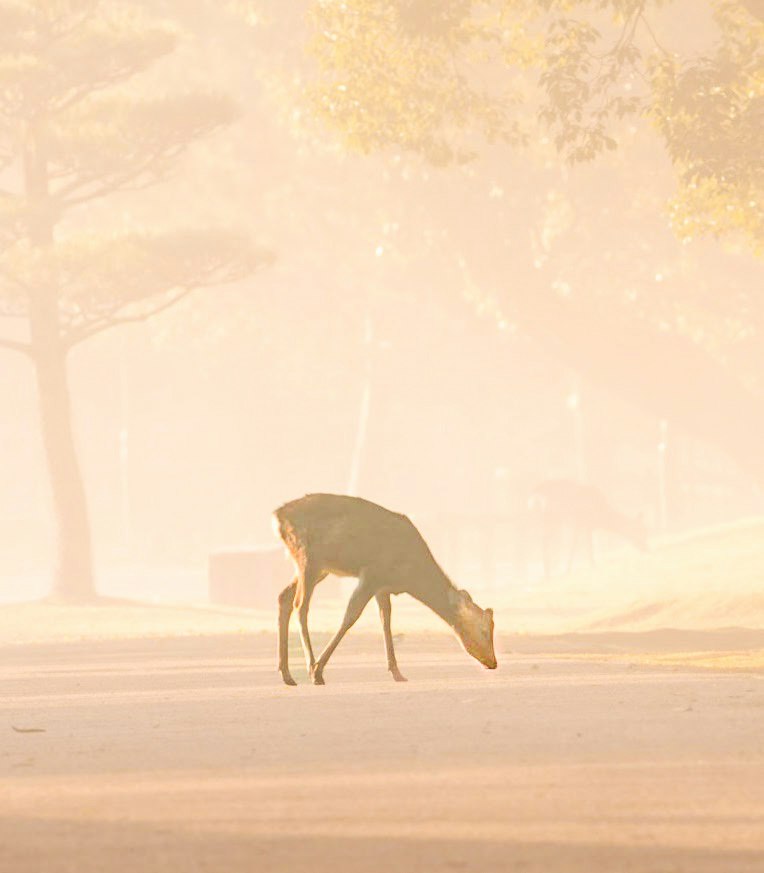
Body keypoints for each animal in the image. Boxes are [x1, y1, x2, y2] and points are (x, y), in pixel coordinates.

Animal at [274, 493, 497, 686]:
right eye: (484, 630)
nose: (493, 662)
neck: (410, 575)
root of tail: (278, 516)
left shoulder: (383, 587)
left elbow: (386, 620)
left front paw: (397, 672)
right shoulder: (371, 574)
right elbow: (350, 616)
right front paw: (318, 668)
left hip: (319, 568)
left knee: (284, 597)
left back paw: (287, 674)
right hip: (308, 558)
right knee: (300, 606)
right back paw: (312, 668)